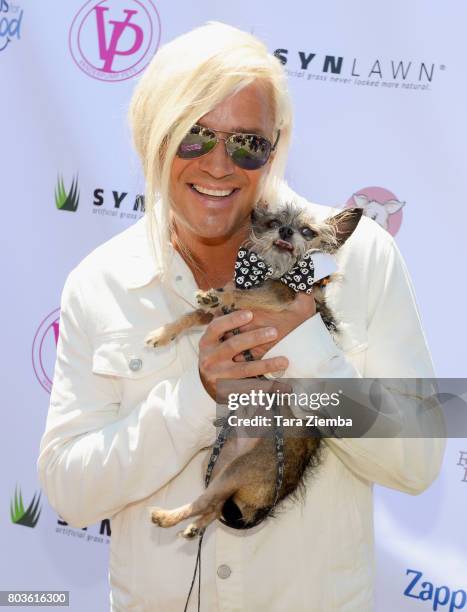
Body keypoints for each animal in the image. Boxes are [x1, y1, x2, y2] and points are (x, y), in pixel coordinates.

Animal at [145, 203, 362, 536]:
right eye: (273, 223)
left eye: (307, 231)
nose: (285, 231)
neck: (274, 270)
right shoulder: (217, 319)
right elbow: (192, 315)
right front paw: (163, 333)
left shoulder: (279, 296)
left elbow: (241, 293)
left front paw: (219, 293)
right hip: (217, 464)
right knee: (212, 503)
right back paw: (192, 526)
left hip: (238, 468)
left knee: (206, 501)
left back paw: (166, 517)